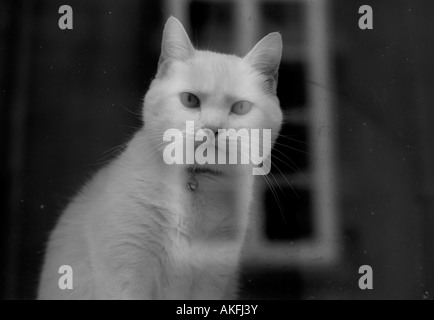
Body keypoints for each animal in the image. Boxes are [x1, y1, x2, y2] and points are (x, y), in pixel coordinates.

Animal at [36, 16, 282, 298]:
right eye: (190, 100)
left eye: (240, 107)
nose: (213, 128)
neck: (195, 183)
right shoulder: (126, 273)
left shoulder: (212, 280)